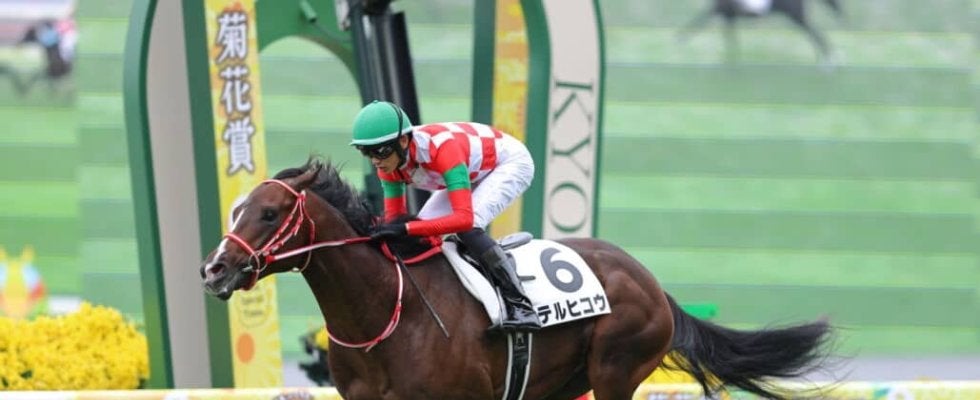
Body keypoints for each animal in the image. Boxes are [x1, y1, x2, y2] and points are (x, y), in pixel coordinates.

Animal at [200, 159, 834, 400]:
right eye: (237, 209)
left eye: (269, 213)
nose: (214, 268)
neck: (385, 314)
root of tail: (650, 282)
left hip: (616, 369)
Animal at [678, 0, 844, 65]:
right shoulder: (728, 15)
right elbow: (730, 38)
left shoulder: (722, 10)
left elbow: (699, 21)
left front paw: (679, 40)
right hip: (797, 16)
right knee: (814, 36)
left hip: (796, 15)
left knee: (815, 35)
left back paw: (828, 63)